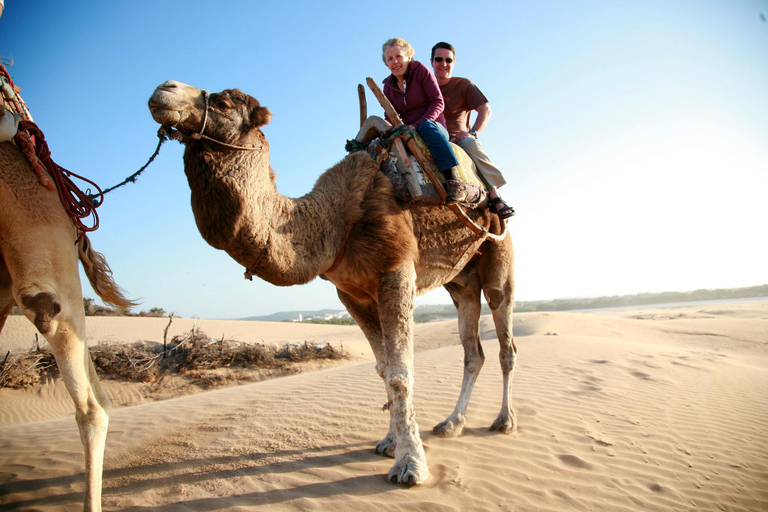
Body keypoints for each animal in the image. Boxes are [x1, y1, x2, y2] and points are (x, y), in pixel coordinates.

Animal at [148, 80, 517, 485]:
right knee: (473, 349)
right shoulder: (351, 293)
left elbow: (400, 373)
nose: (164, 89)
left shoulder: (396, 271)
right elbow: (383, 368)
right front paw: (389, 442)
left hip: (498, 255)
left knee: (504, 338)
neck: (335, 220)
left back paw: (503, 420)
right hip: (461, 282)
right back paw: (451, 423)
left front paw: (410, 464)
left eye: (224, 103)